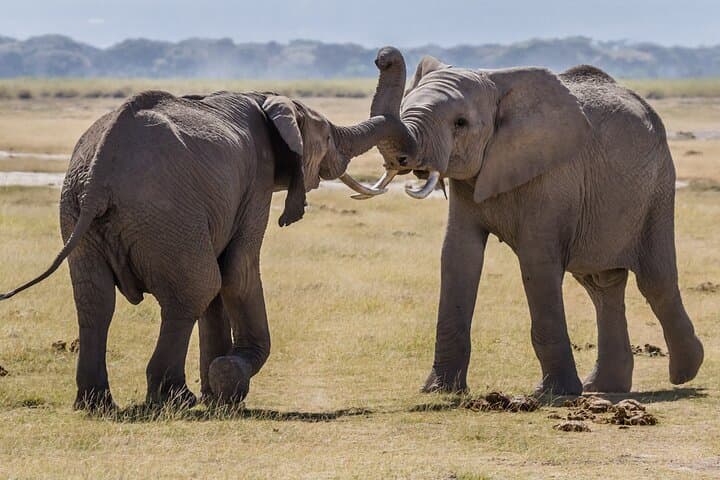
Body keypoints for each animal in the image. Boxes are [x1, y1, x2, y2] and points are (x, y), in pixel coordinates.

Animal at [0, 89, 394, 410]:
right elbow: (236, 273)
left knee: (95, 301)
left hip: (78, 210)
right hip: (165, 213)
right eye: (326, 134)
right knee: (195, 288)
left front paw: (217, 393)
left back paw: (96, 404)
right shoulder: (257, 181)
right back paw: (176, 399)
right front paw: (227, 384)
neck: (267, 98)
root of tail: (99, 174)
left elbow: (220, 282)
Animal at [362, 47, 704, 395]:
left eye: (460, 123)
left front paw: (554, 394)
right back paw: (603, 387)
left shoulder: (553, 174)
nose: (383, 57)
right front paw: (439, 391)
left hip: (657, 188)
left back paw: (685, 372)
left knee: (655, 280)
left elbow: (536, 262)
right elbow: (458, 255)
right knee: (601, 284)